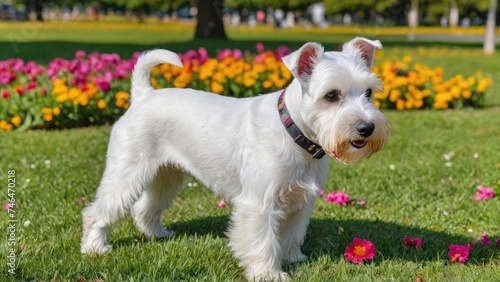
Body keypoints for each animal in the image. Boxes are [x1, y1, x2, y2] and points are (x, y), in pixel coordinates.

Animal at [81, 37, 390, 280]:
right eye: (331, 95)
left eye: (369, 92)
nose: (366, 127)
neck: (295, 134)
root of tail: (143, 96)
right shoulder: (259, 204)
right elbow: (263, 241)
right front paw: (268, 273)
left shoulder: (301, 201)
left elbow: (291, 235)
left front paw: (293, 258)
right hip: (127, 171)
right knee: (99, 211)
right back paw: (95, 247)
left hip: (166, 175)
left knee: (145, 208)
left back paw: (158, 234)